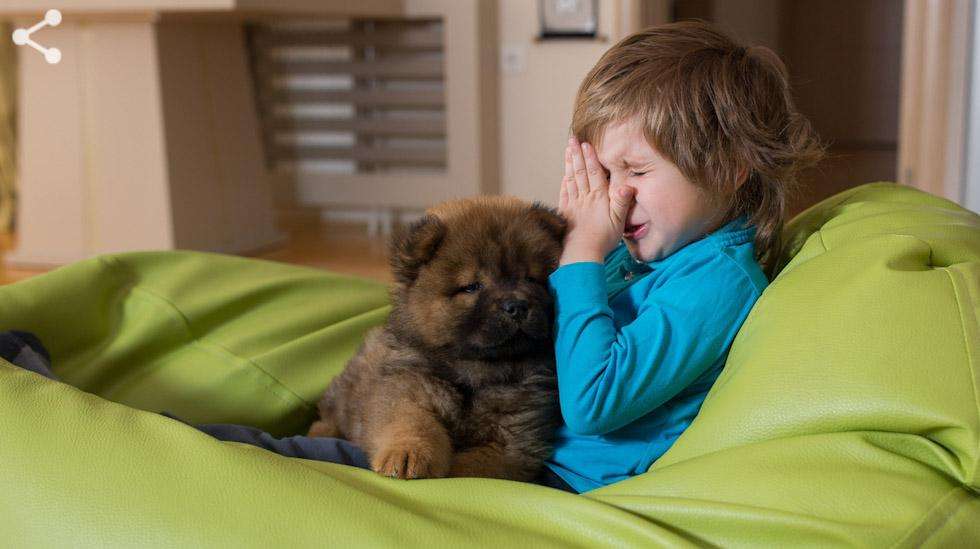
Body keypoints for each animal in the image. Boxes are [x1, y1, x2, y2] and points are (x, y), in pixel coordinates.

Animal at [306, 197, 568, 480]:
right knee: (327, 418)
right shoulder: (407, 390)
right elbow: (412, 423)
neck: (476, 372)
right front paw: (406, 455)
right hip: (344, 395)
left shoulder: (514, 439)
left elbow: (469, 467)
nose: (517, 306)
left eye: (531, 279)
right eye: (472, 287)